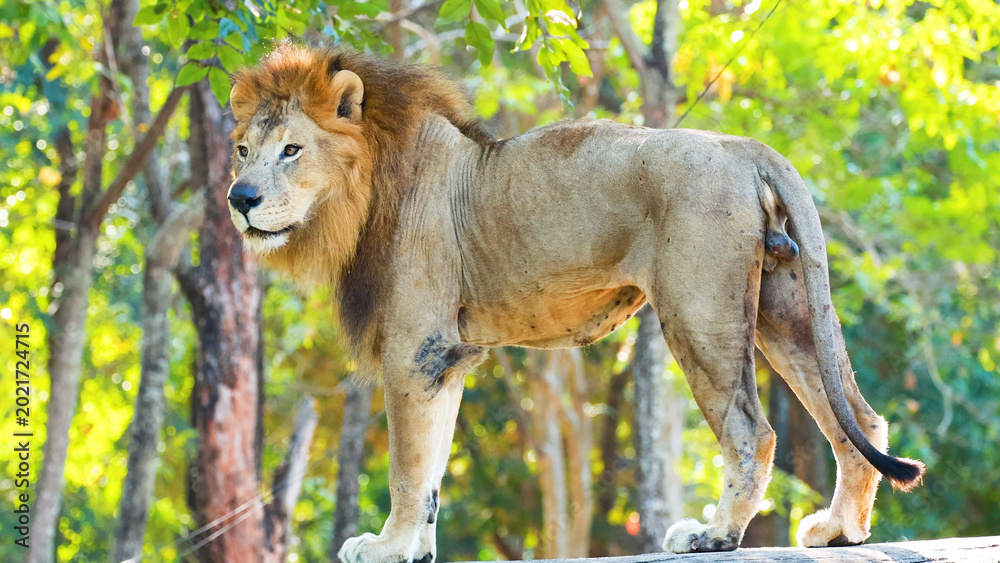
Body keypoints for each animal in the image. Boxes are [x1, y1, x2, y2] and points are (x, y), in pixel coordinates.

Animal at [227, 46, 924, 562]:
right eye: (242, 150)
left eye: (291, 149)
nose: (238, 198)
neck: (362, 192)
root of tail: (744, 146)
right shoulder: (445, 359)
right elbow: (431, 471)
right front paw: (414, 547)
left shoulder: (413, 350)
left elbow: (407, 465)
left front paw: (387, 546)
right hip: (786, 310)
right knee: (859, 419)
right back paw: (840, 531)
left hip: (698, 310)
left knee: (753, 430)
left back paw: (712, 535)